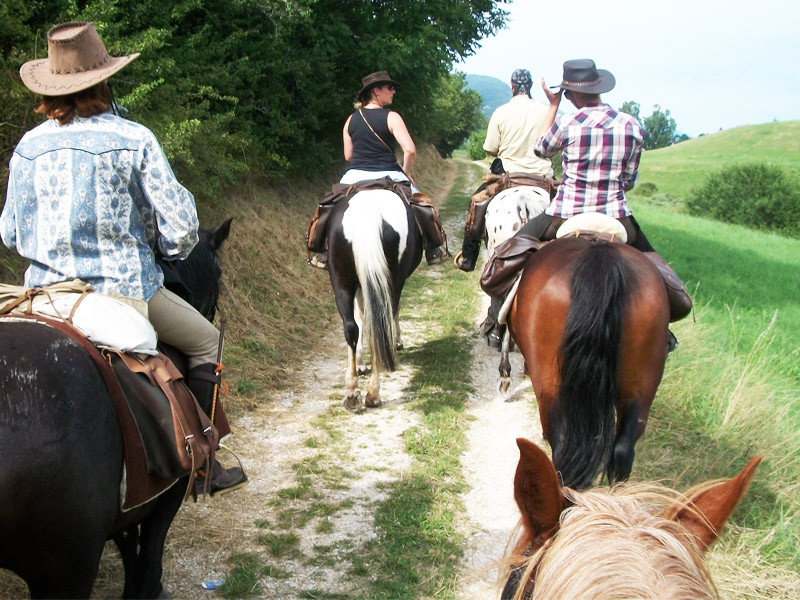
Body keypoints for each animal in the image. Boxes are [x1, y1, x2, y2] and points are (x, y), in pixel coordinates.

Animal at [0, 220, 231, 600]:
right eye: (220, 272)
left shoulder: (133, 492)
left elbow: (128, 543)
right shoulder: (168, 491)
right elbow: (150, 551)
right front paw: (150, 589)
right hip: (67, 570)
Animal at [326, 189, 422, 412]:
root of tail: (369, 215)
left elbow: (361, 316)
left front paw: (361, 363)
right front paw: (397, 342)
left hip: (341, 279)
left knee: (351, 327)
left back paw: (352, 392)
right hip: (392, 279)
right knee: (382, 323)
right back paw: (373, 394)